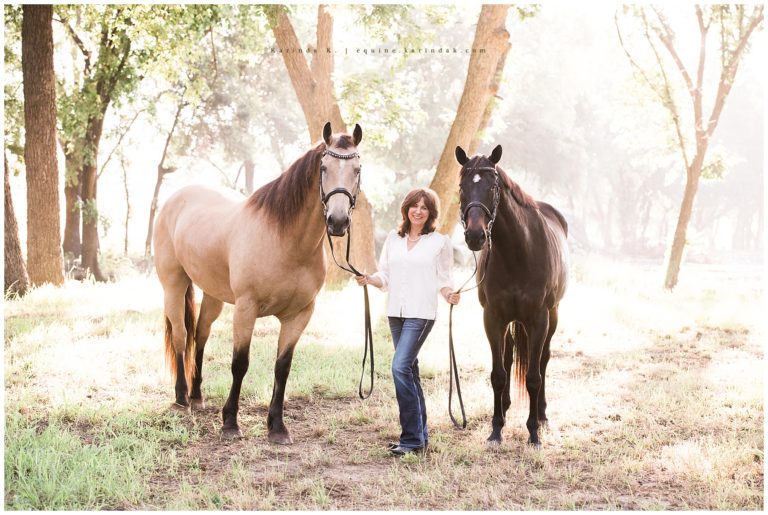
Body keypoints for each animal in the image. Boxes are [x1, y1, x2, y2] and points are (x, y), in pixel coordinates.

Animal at [152, 122, 363, 443]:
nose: (337, 222)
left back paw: (197, 396)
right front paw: (230, 423)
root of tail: (176, 198)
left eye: (357, 169)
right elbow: (240, 364)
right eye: (324, 168)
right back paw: (180, 399)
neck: (285, 241)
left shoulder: (299, 315)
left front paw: (277, 427)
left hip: (213, 295)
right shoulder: (246, 308)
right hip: (173, 285)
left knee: (200, 335)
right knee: (180, 335)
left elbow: (282, 367)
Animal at [455, 144, 568, 448]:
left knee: (543, 360)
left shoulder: (538, 320)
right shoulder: (493, 318)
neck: (518, 252)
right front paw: (496, 430)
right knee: (507, 358)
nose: (475, 236)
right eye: (462, 187)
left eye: (493, 187)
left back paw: (542, 416)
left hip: (552, 317)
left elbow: (533, 377)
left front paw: (533, 432)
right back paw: (504, 409)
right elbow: (498, 373)